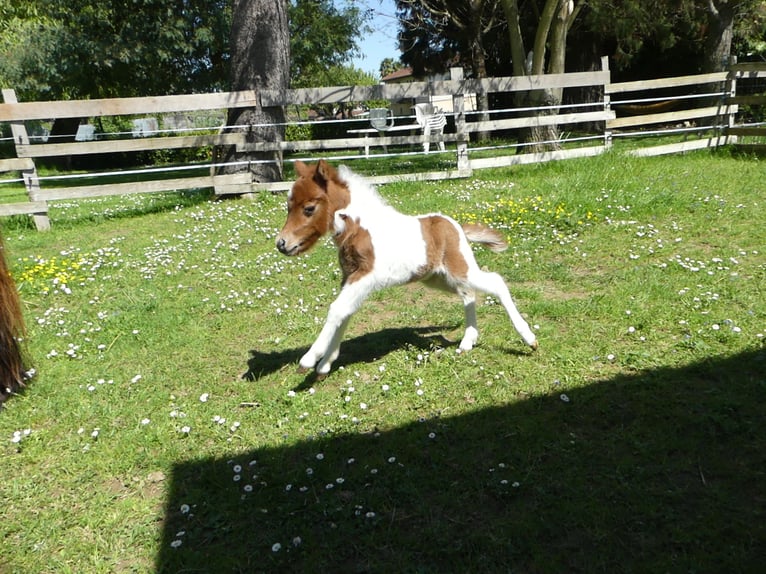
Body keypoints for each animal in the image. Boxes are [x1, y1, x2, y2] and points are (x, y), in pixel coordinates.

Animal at [275, 159, 538, 377]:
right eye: (289, 206)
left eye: (309, 208)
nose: (282, 244)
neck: (359, 227)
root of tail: (456, 226)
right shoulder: (349, 278)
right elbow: (345, 314)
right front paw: (325, 364)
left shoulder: (365, 276)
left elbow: (337, 310)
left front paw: (310, 359)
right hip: (439, 278)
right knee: (469, 294)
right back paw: (467, 341)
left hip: (460, 268)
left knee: (496, 282)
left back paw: (529, 338)